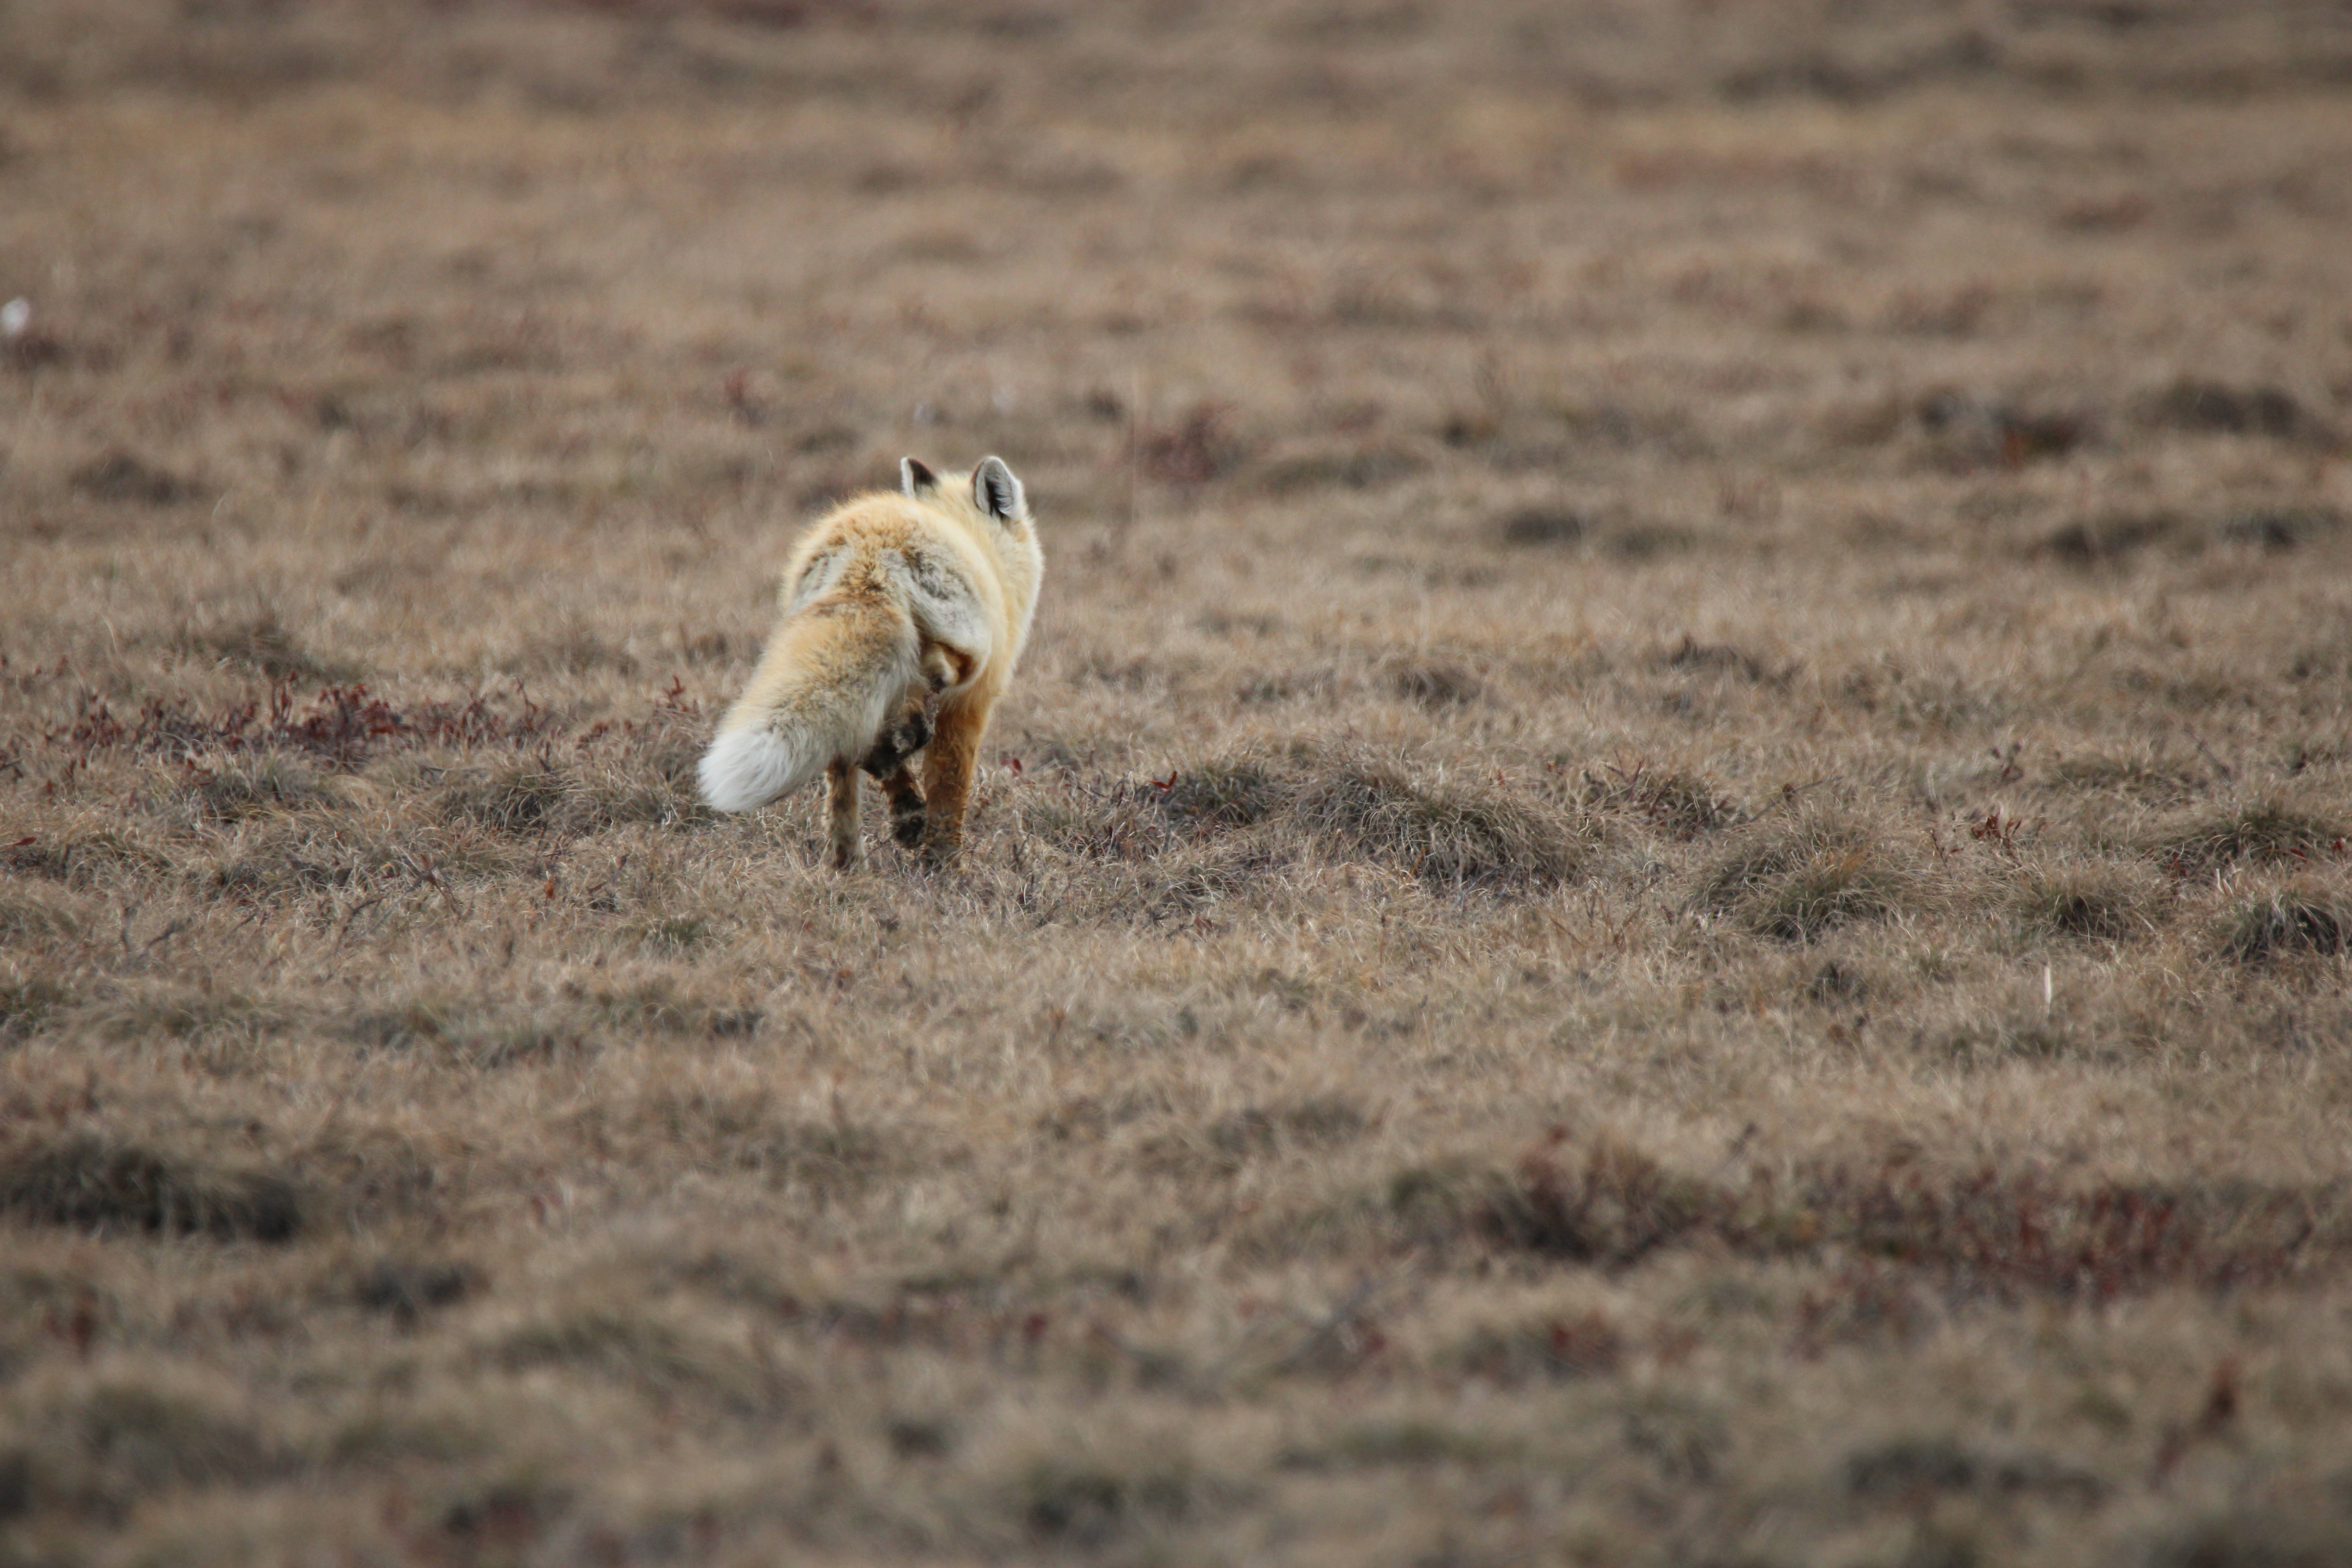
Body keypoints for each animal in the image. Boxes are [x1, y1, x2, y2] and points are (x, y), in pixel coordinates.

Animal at [697, 454, 1043, 869]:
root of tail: (869, 558)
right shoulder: (973, 702)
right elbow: (951, 788)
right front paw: (945, 863)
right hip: (964, 652)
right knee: (915, 702)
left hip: (847, 680)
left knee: (848, 763)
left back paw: (852, 861)